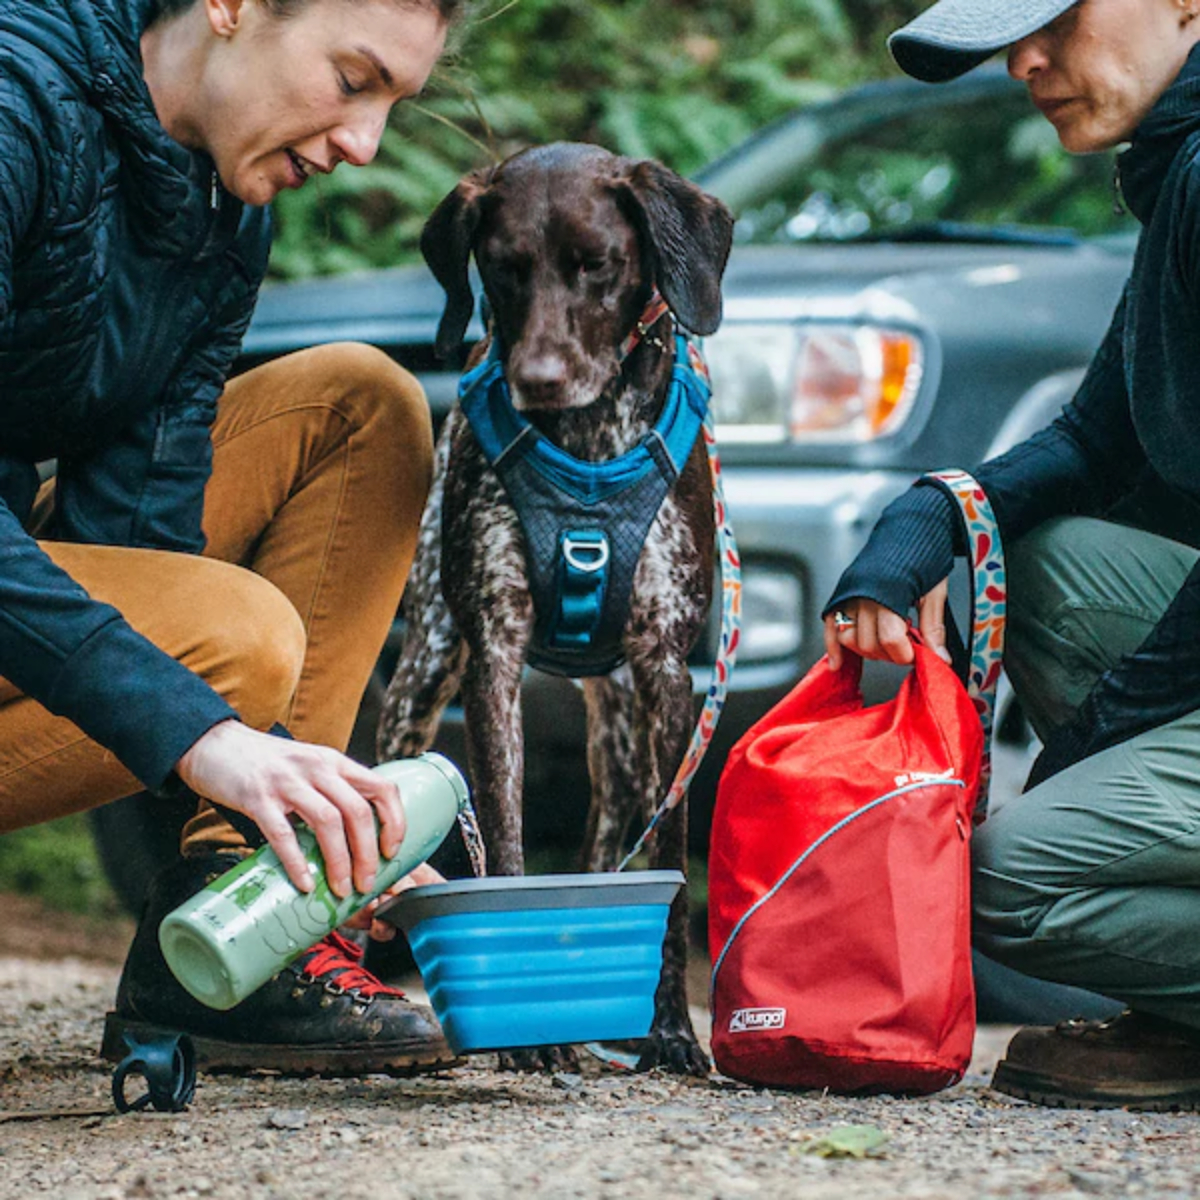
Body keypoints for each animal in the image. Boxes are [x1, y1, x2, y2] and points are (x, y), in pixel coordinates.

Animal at [376, 145, 729, 1075]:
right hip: (422, 675)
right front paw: (526, 1037)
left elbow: (671, 870)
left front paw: (672, 1032)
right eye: (501, 268)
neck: (589, 445)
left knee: (611, 840)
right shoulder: (493, 657)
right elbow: (503, 831)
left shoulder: (667, 671)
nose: (536, 381)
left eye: (596, 265)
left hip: (623, 733)